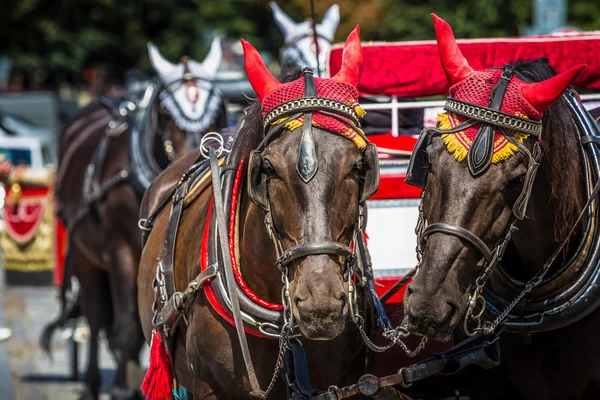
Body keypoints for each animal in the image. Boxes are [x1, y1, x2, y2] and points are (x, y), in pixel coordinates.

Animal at [45, 36, 226, 398]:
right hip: (85, 253)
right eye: (165, 112)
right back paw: (92, 382)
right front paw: (121, 386)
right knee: (96, 314)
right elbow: (126, 327)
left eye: (218, 110)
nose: (196, 155)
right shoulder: (121, 253)